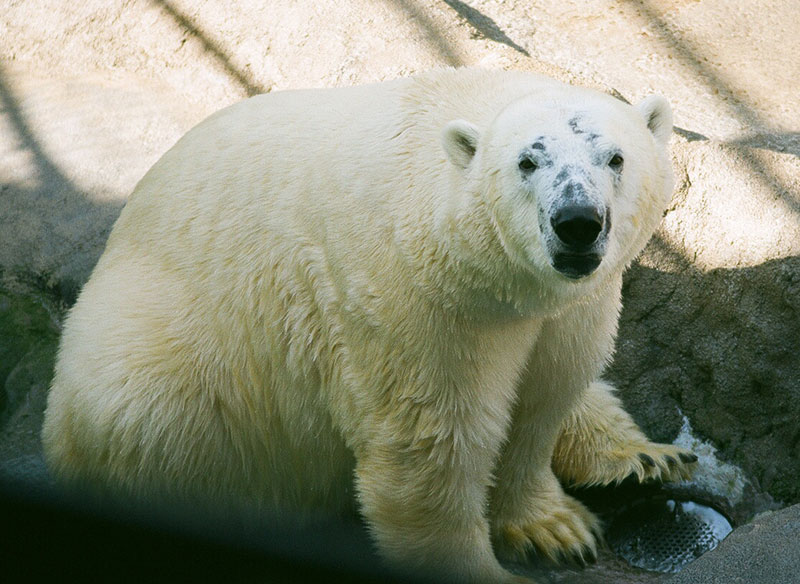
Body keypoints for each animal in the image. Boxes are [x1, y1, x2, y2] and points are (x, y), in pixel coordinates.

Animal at [42, 69, 692, 584]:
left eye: (616, 158)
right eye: (527, 162)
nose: (577, 222)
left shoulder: (573, 306)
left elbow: (545, 395)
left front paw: (557, 527)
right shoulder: (415, 304)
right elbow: (428, 450)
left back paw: (642, 460)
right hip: (160, 371)